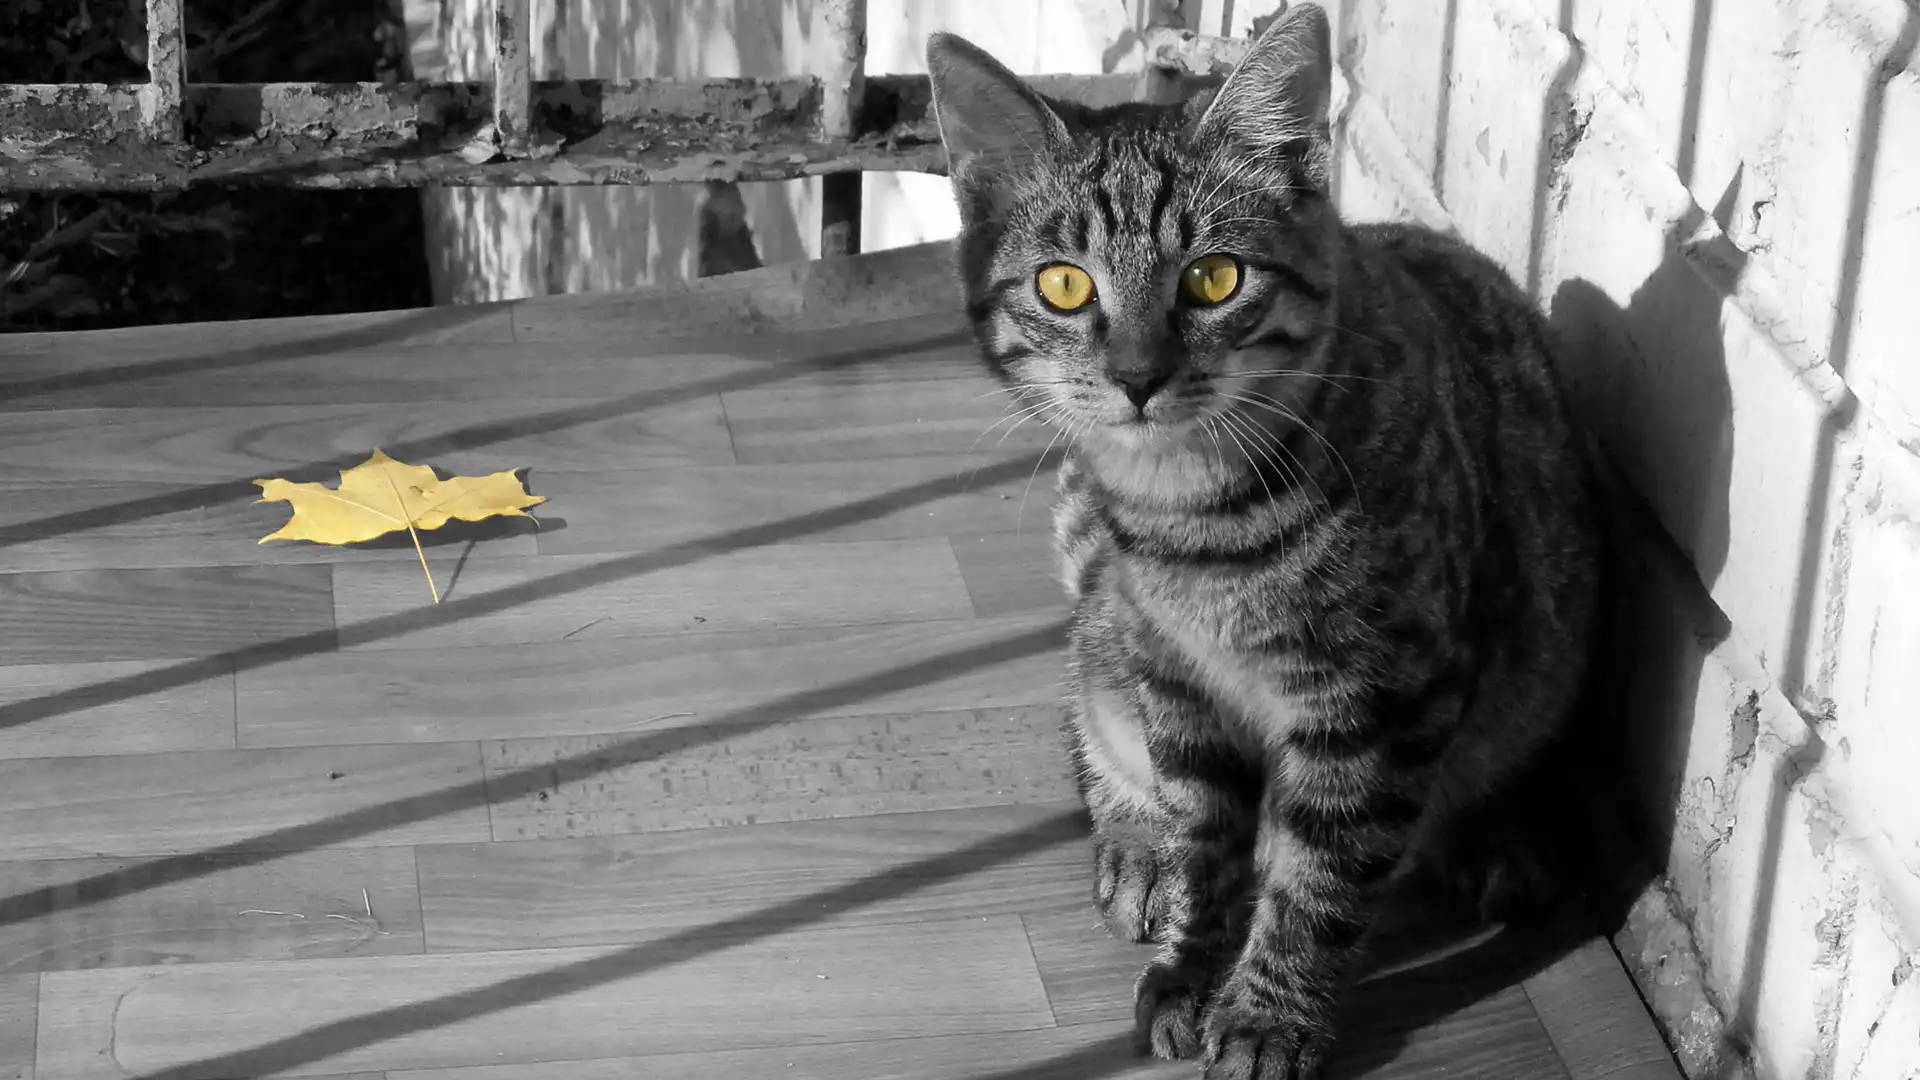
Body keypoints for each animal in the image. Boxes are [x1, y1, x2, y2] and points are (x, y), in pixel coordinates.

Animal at [926, 5, 1607, 1078]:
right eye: (1066, 286)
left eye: (1214, 278)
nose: (1137, 378)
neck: (1191, 514)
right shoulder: (1177, 684)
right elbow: (1204, 836)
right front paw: (1191, 966)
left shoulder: (1380, 702)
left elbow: (1321, 878)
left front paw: (1267, 1015)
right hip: (1110, 631)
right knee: (1088, 699)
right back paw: (1135, 843)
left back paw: (1494, 838)